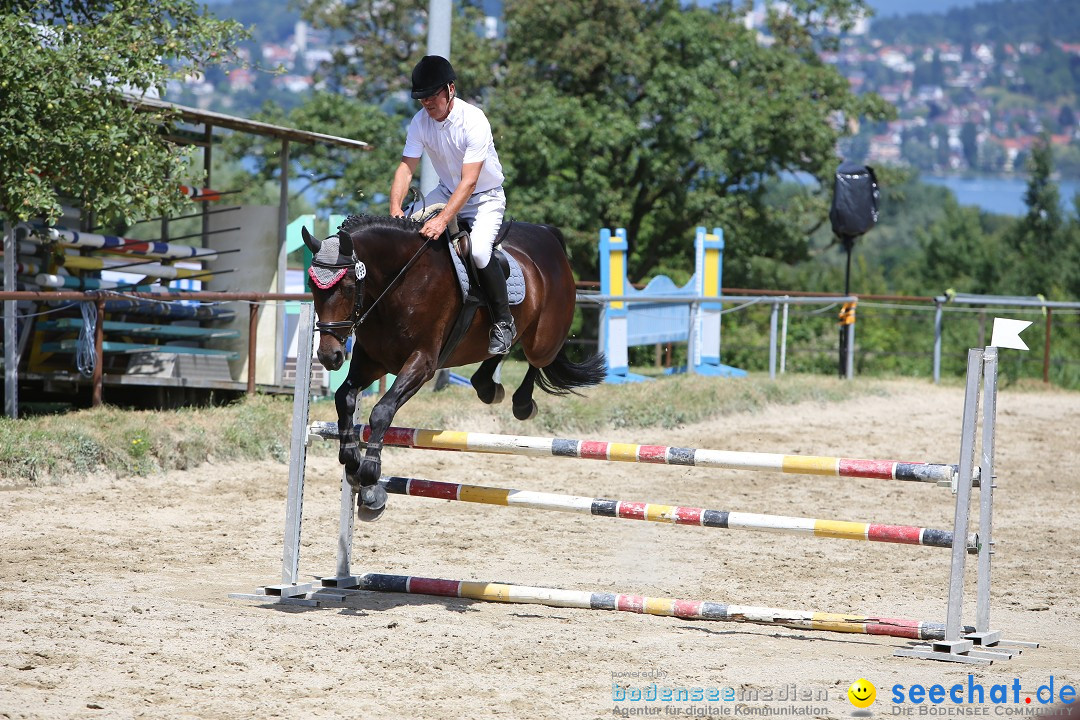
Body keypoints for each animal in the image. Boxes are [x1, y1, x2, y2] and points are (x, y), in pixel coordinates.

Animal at [304, 212, 609, 518]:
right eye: (312, 287)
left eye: (348, 286)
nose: (329, 356)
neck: (399, 282)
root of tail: (548, 235)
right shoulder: (372, 362)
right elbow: (344, 397)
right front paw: (351, 461)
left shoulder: (422, 363)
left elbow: (382, 410)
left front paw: (369, 479)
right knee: (502, 347)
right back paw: (487, 383)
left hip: (543, 340)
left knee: (536, 359)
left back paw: (521, 402)